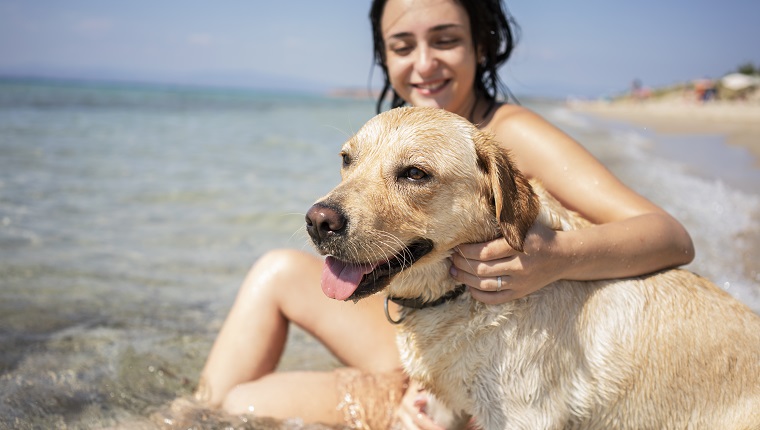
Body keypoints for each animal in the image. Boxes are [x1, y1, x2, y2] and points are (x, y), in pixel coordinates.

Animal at [304, 106, 760, 428]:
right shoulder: (443, 406)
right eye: (347, 159)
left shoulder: (523, 415)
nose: (318, 221)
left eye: (415, 173)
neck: (456, 298)